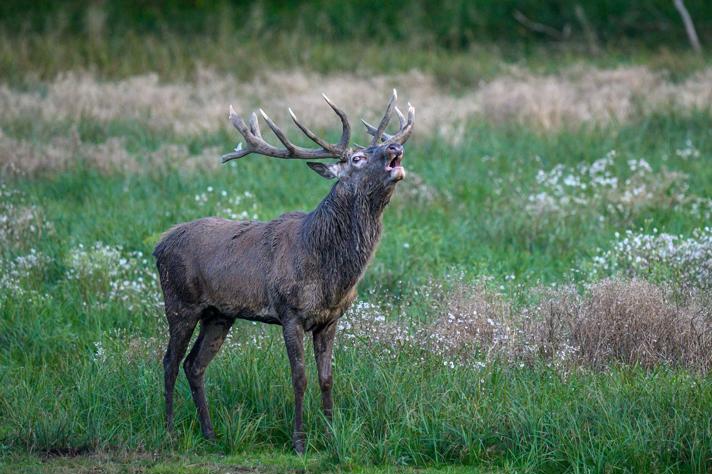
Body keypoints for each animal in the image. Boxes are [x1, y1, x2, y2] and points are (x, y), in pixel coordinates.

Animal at [153, 90, 414, 454]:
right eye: (357, 158)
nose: (394, 147)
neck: (330, 273)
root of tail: (158, 246)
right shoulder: (290, 312)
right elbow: (299, 378)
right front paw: (299, 441)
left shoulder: (330, 318)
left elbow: (327, 378)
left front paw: (331, 435)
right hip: (179, 303)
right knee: (169, 363)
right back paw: (169, 432)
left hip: (219, 314)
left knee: (194, 365)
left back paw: (209, 433)